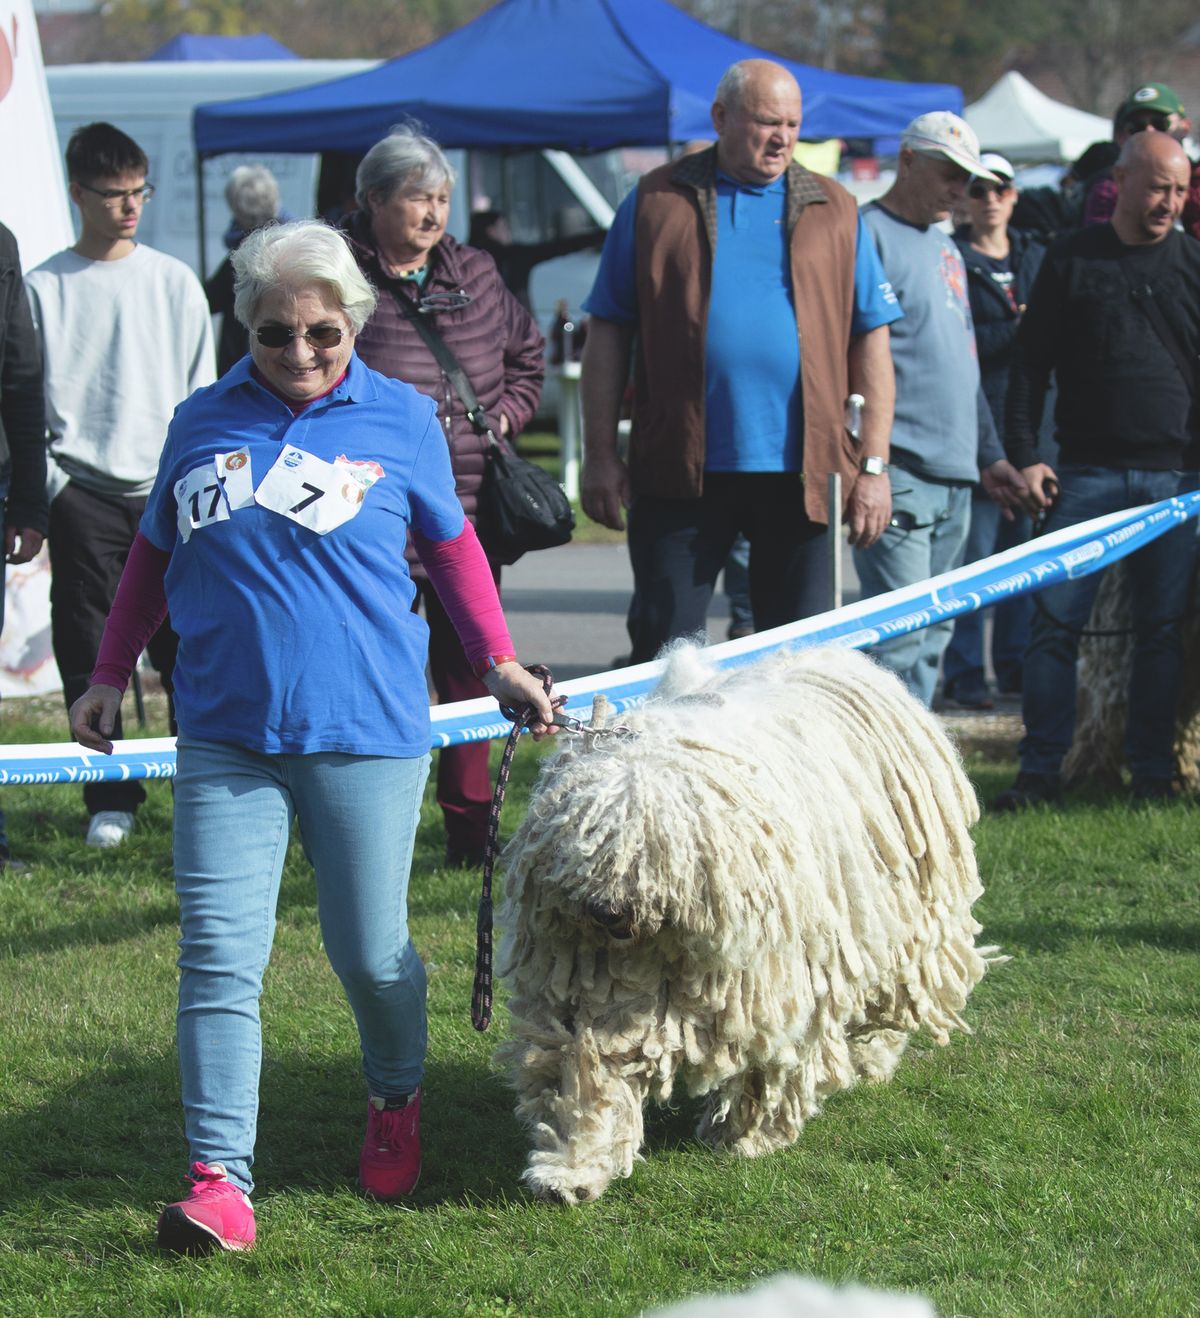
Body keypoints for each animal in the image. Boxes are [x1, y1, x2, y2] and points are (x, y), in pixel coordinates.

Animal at [495, 640, 996, 1207]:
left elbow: (769, 1059)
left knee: (893, 990)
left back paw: (871, 1058)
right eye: (584, 838)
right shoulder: (592, 982)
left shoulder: (768, 982)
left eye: (654, 847)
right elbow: (589, 1066)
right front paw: (571, 1168)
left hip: (900, 909)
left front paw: (749, 1135)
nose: (609, 911)